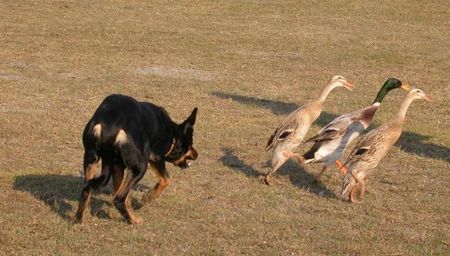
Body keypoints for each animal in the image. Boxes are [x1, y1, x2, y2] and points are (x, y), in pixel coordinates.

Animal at [74, 94, 199, 224]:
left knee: (87, 189)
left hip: (90, 159)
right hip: (140, 167)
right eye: (190, 145)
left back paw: (78, 218)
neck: (172, 134)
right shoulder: (156, 158)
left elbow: (121, 191)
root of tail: (110, 126)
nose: (196, 154)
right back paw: (134, 220)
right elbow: (166, 180)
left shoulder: (117, 166)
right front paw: (147, 198)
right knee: (118, 199)